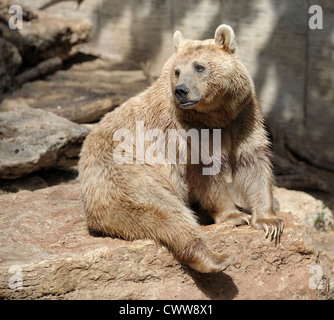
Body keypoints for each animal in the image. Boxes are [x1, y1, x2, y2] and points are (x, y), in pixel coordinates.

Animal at [79, 24, 284, 272]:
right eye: (177, 71)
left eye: (199, 66)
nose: (181, 90)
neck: (215, 115)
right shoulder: (185, 131)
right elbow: (205, 173)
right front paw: (234, 216)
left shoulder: (243, 117)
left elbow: (253, 162)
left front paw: (269, 221)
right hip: (125, 174)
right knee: (163, 211)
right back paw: (216, 258)